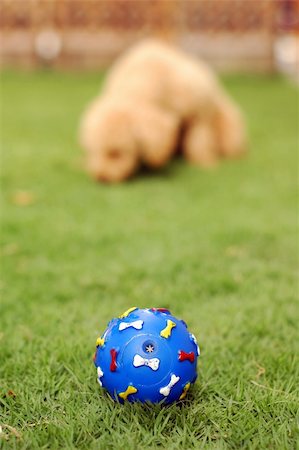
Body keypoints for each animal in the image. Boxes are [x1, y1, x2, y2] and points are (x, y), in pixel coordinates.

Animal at [79, 38, 246, 182]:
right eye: (92, 151)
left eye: (116, 152)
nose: (101, 177)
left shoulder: (198, 114)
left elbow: (198, 142)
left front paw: (205, 163)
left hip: (229, 132)